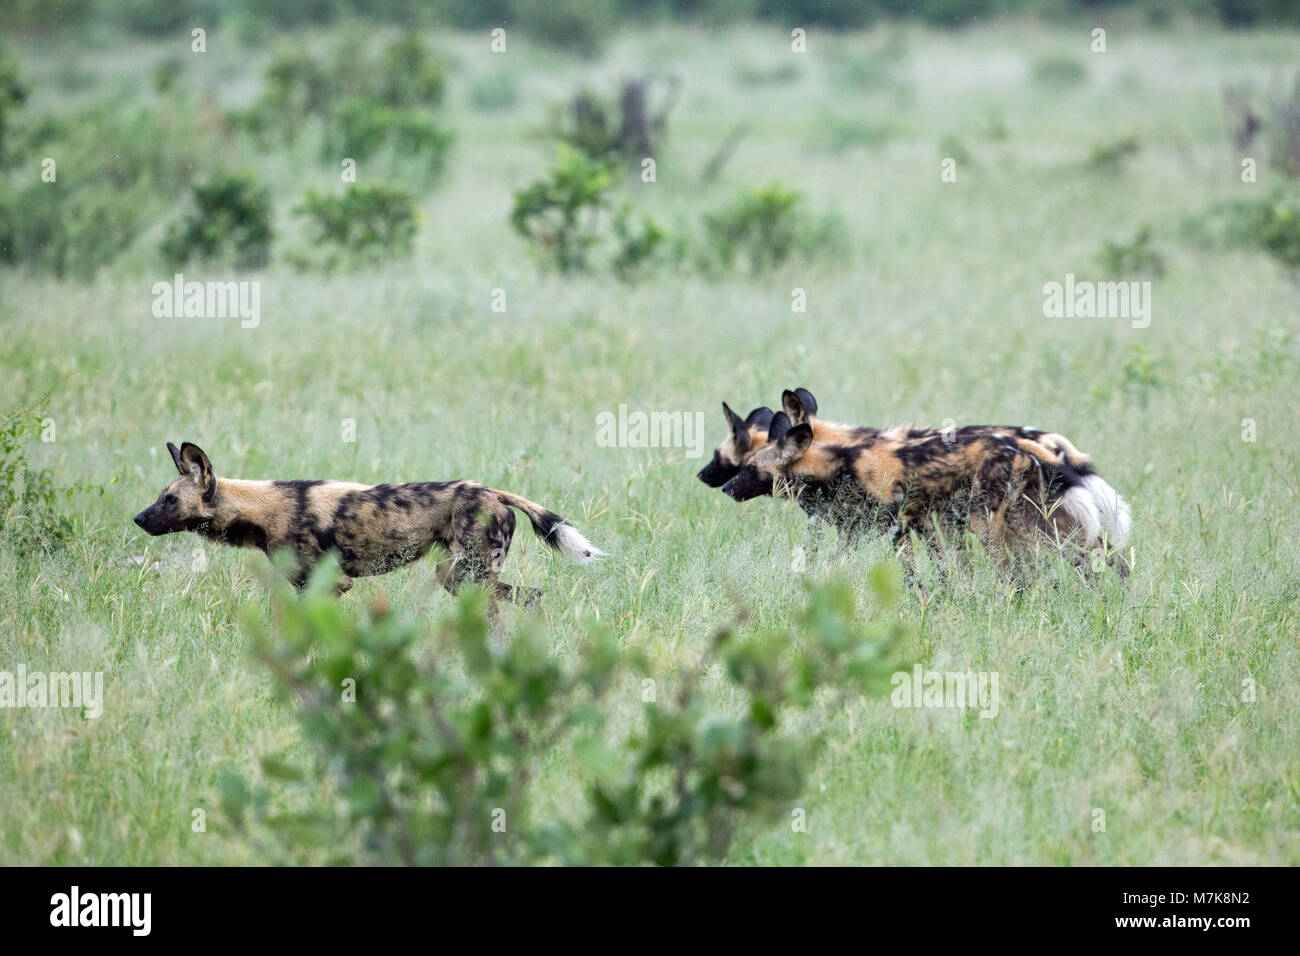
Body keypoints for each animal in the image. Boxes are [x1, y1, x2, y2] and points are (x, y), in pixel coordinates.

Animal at [129, 442, 605, 606]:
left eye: (169, 500)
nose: (137, 518)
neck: (262, 509)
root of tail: (494, 491)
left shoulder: (331, 584)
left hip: (466, 573)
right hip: (459, 577)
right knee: (530, 598)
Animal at [712, 390, 1128, 572]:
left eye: (746, 466)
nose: (715, 482)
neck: (841, 456)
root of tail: (1034, 444)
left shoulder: (898, 528)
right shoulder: (896, 528)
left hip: (999, 525)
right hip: (1036, 524)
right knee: (1099, 554)